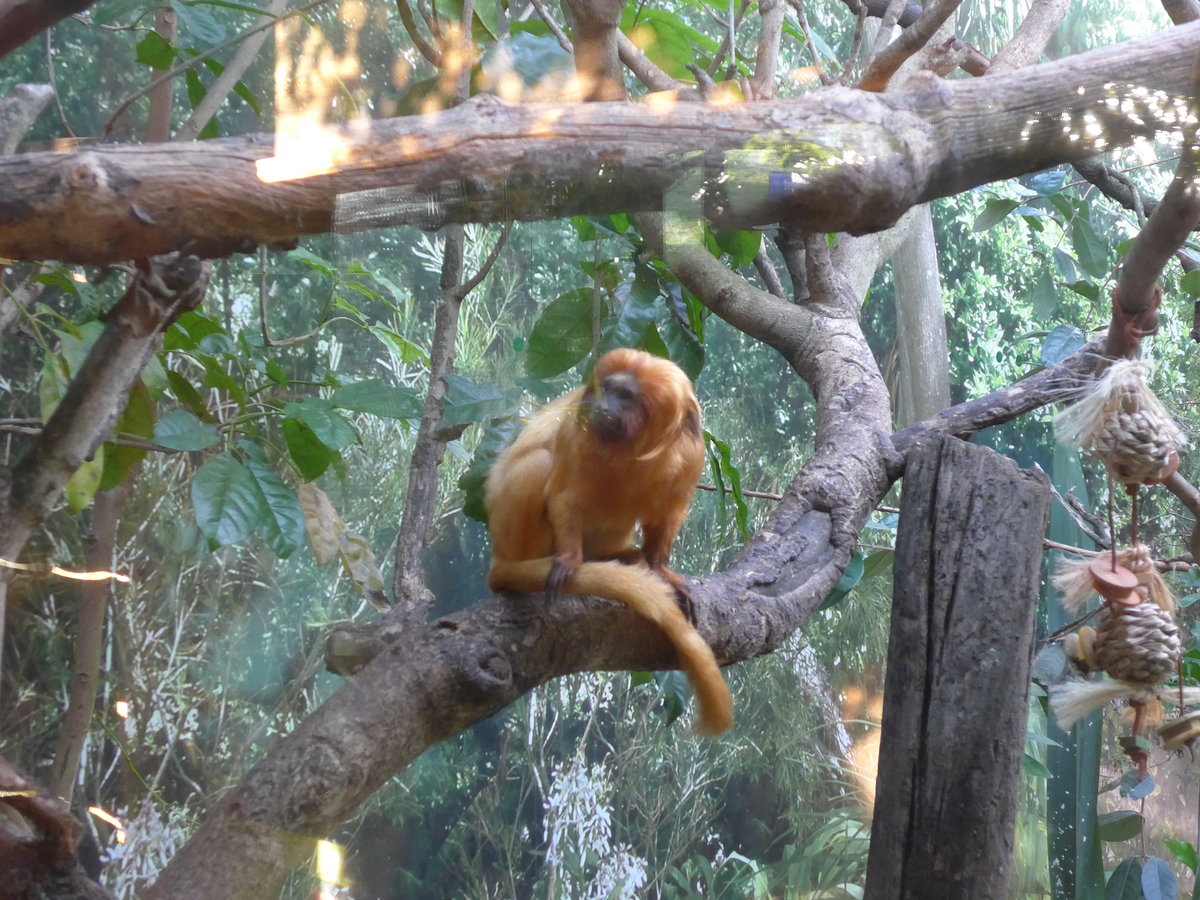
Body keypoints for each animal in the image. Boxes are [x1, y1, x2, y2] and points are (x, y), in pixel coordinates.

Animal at [484, 347, 732, 736]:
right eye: (605, 390)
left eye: (624, 396)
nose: (601, 406)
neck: (630, 448)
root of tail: (498, 559)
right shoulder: (576, 434)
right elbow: (564, 496)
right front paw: (568, 560)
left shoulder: (691, 455)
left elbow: (667, 516)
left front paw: (659, 569)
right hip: (511, 536)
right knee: (539, 460)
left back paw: (621, 557)